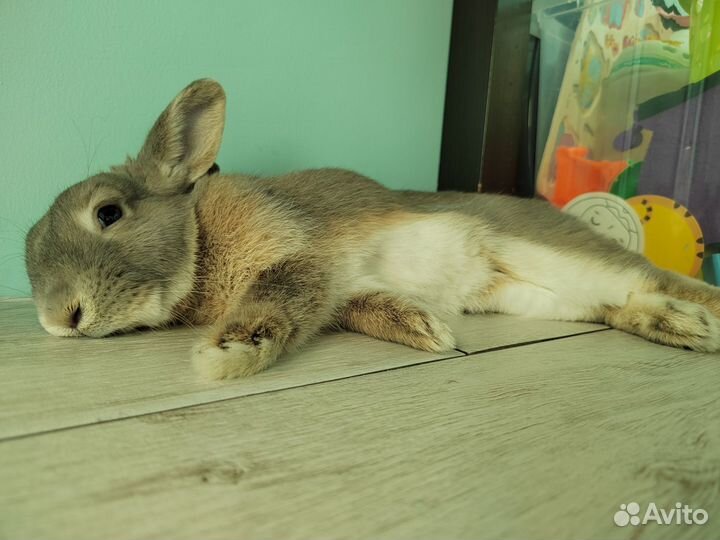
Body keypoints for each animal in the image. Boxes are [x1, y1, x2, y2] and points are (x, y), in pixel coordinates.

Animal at [25, 79, 720, 380]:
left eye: (108, 213)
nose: (58, 320)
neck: (200, 236)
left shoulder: (299, 255)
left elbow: (281, 295)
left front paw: (226, 352)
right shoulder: (345, 293)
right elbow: (365, 307)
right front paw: (429, 331)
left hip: (554, 253)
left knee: (653, 279)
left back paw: (700, 316)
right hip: (538, 296)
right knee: (617, 304)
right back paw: (683, 330)